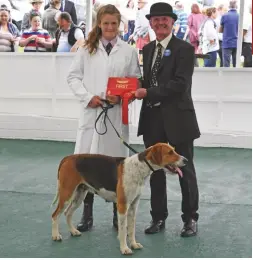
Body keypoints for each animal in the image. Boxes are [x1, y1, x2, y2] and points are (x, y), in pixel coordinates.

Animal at [51, 142, 186, 254]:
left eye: (174, 150)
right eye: (170, 152)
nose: (186, 160)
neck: (139, 167)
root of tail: (68, 158)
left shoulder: (133, 206)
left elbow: (131, 229)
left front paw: (133, 244)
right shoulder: (122, 206)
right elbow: (123, 230)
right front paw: (124, 248)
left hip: (79, 196)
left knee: (67, 213)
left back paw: (73, 231)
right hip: (66, 194)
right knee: (55, 215)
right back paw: (56, 235)